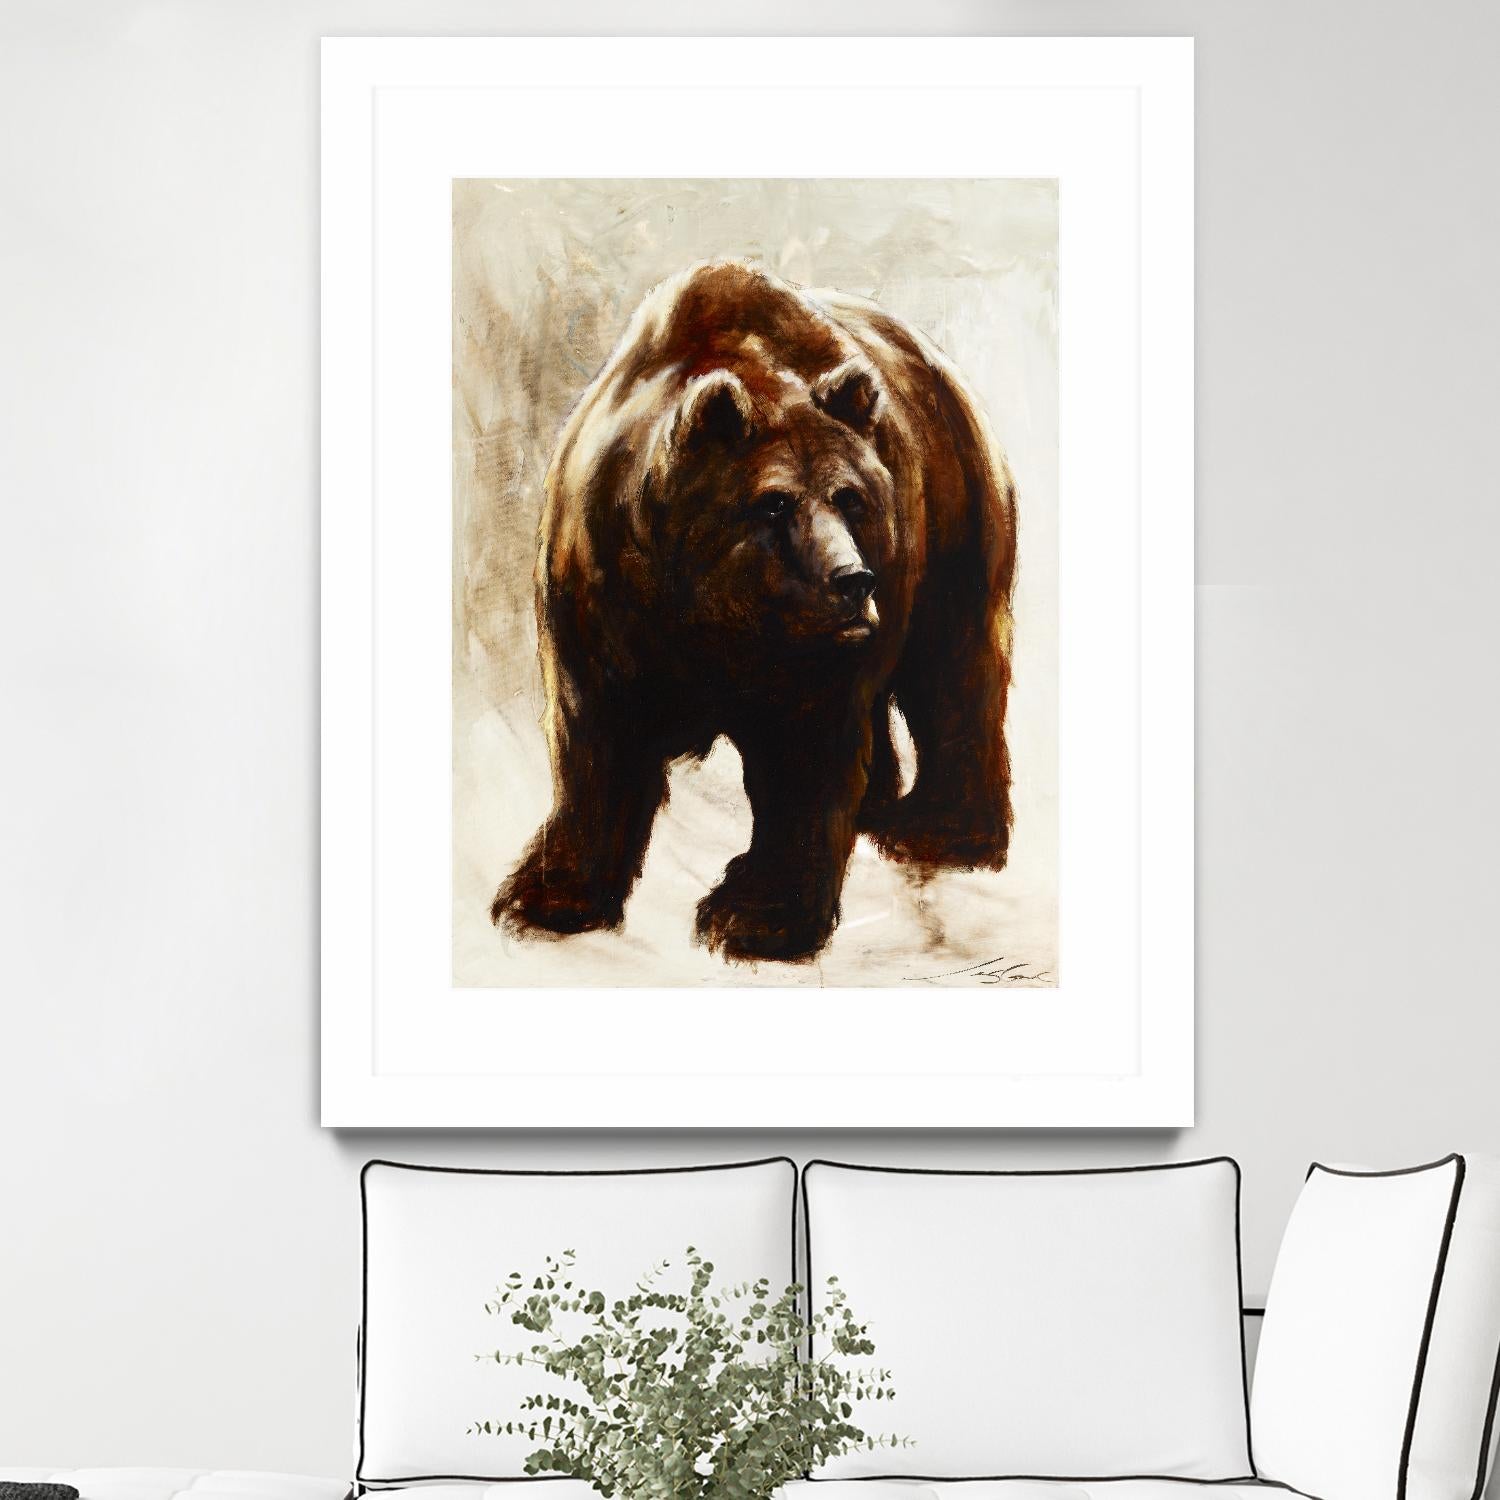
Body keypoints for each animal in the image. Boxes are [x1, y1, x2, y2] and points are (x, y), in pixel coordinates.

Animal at [491, 260, 1016, 963]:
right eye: (774, 502)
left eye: (849, 497)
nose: (852, 580)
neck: (710, 615)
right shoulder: (603, 601)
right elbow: (597, 740)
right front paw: (546, 895)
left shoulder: (809, 652)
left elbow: (806, 752)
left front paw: (755, 915)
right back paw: (880, 809)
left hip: (953, 514)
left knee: (953, 665)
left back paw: (938, 828)